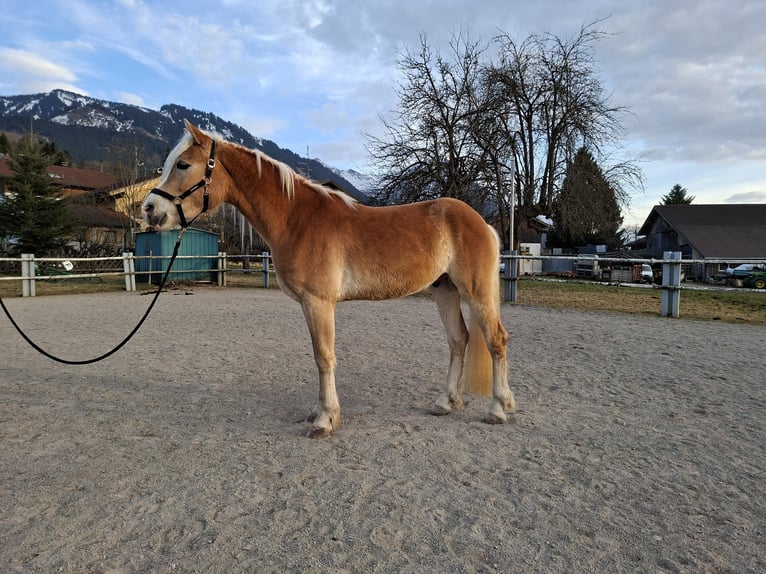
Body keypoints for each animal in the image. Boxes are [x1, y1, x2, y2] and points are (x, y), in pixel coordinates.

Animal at [142, 120, 516, 438]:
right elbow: (319, 355)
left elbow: (324, 356)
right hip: (445, 291)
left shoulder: (318, 302)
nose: (149, 209)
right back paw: (446, 402)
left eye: (183, 165)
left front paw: (325, 419)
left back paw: (499, 408)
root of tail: (481, 222)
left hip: (475, 292)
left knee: (496, 339)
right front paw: (320, 411)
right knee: (458, 340)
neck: (296, 217)